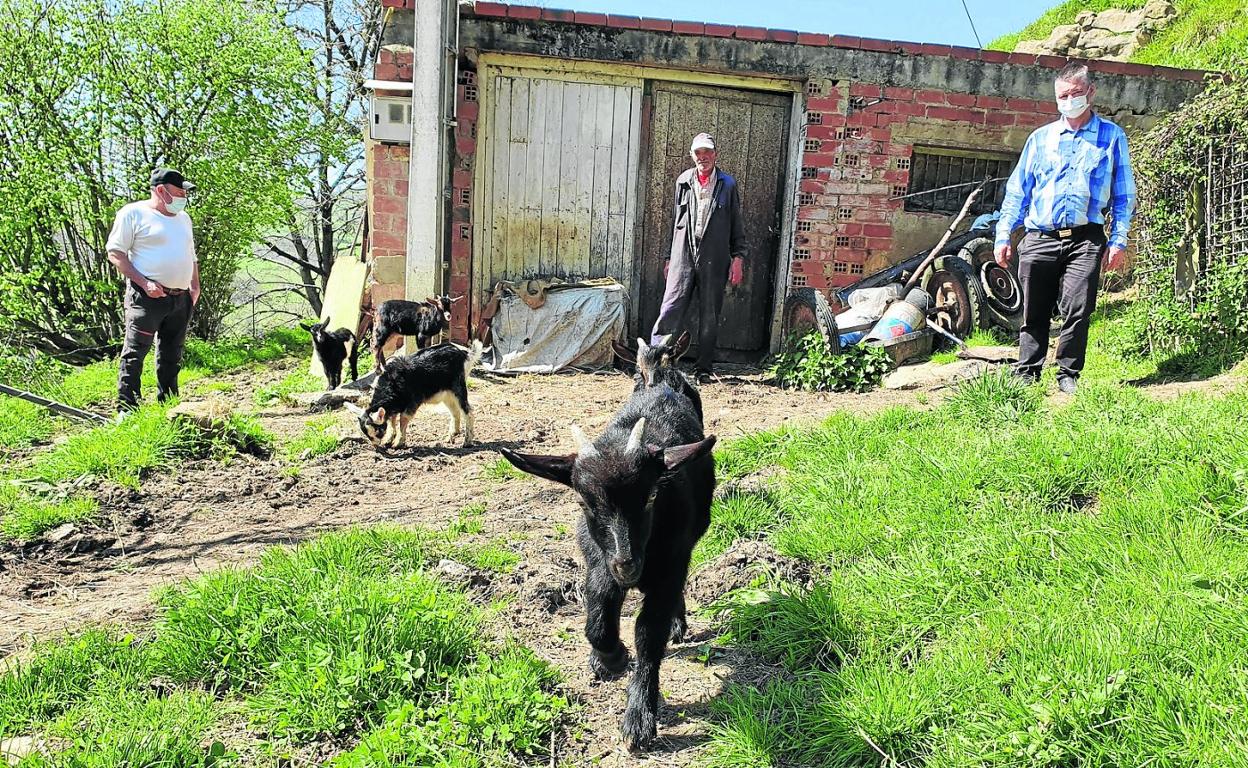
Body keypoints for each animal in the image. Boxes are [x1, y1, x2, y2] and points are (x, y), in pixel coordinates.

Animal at [346, 342, 481, 449]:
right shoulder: (394, 406)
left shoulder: (413, 402)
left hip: (459, 388)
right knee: (455, 411)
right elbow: (391, 420)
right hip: (447, 394)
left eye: (377, 432)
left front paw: (398, 443)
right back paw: (451, 436)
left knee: (468, 411)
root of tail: (464, 353)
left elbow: (403, 419)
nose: (375, 446)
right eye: (366, 434)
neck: (390, 384)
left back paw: (467, 442)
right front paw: (389, 439)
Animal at [496, 384, 713, 749]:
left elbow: (648, 632)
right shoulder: (598, 558)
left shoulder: (671, 562)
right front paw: (611, 658)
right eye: (583, 501)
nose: (627, 565)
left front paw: (639, 717)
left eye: (651, 497)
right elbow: (598, 611)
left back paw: (677, 624)